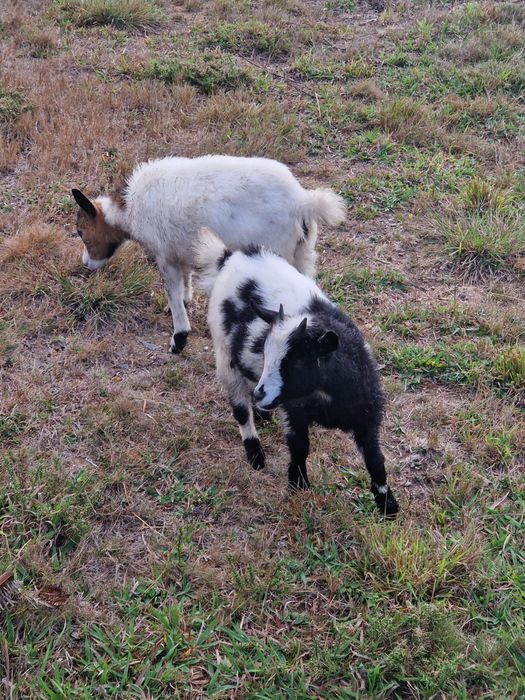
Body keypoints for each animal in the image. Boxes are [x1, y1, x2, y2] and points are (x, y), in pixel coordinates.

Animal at [71, 155, 346, 353]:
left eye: (81, 232)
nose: (86, 264)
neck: (129, 209)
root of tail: (302, 203)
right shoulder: (181, 251)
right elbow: (185, 281)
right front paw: (185, 300)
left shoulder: (165, 256)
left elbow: (173, 292)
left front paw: (179, 338)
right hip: (301, 256)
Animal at [195, 228, 399, 517]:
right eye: (267, 354)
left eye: (297, 362)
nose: (261, 394)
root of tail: (231, 257)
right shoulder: (294, 412)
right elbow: (299, 447)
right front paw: (298, 485)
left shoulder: (367, 416)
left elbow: (375, 459)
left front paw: (387, 504)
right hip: (225, 357)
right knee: (240, 408)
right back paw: (255, 452)